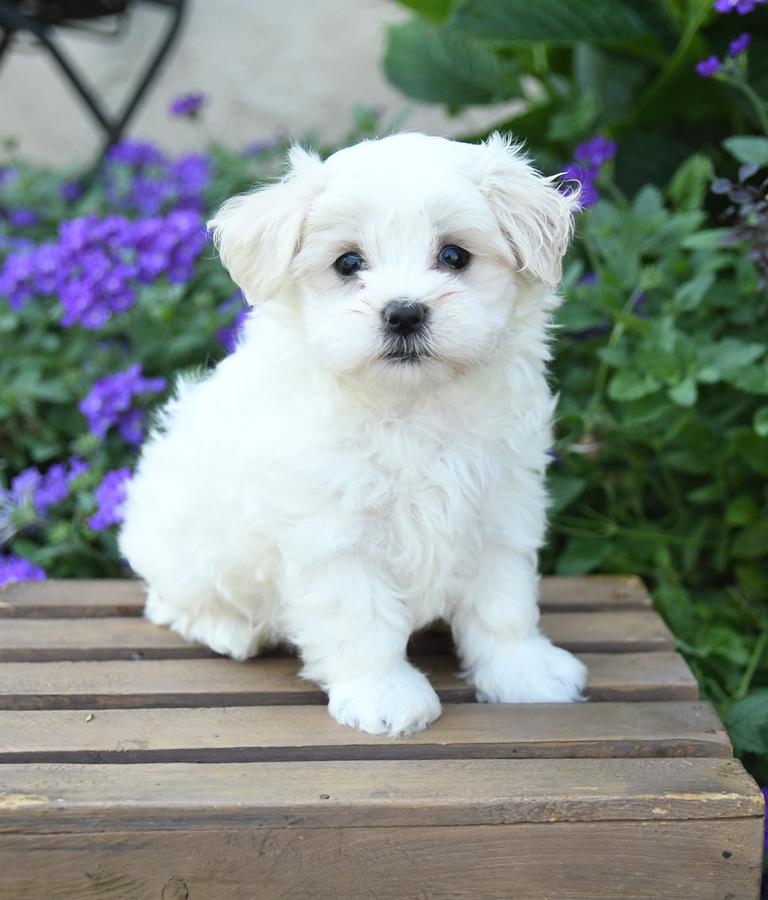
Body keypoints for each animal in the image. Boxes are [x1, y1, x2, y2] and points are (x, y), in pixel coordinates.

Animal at [121, 135, 588, 740]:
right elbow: (360, 616)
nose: (404, 312)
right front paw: (383, 694)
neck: (411, 403)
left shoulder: (500, 506)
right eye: (348, 263)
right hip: (182, 547)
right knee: (171, 602)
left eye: (454, 256)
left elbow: (502, 601)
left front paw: (522, 669)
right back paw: (233, 631)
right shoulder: (333, 532)